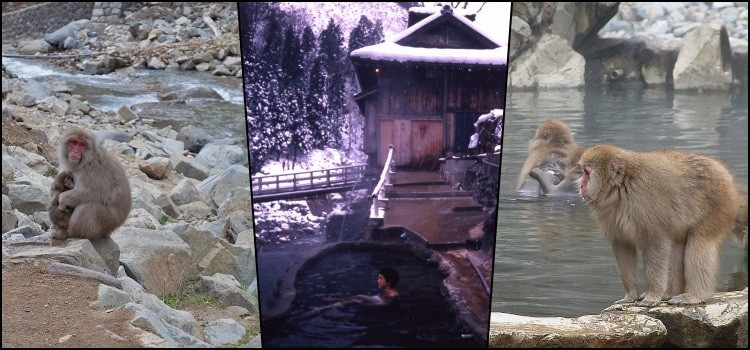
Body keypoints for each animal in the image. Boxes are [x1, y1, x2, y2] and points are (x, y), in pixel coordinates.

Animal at [580, 144, 744, 306]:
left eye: (586, 173)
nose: (581, 185)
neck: (622, 187)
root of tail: (724, 173)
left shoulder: (645, 200)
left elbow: (656, 244)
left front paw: (652, 297)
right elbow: (623, 245)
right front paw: (630, 295)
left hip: (719, 204)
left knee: (701, 243)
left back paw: (695, 295)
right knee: (678, 244)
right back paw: (669, 293)